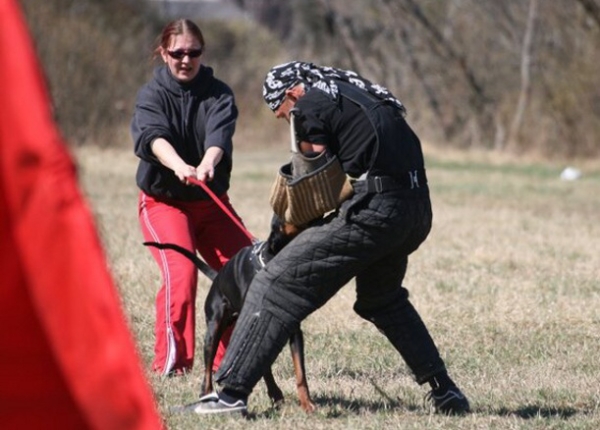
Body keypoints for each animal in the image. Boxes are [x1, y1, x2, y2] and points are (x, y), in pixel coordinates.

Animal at [144, 217, 316, 412]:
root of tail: (217, 277)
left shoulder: (293, 328)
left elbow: (300, 372)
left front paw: (307, 404)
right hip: (213, 330)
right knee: (208, 369)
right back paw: (207, 395)